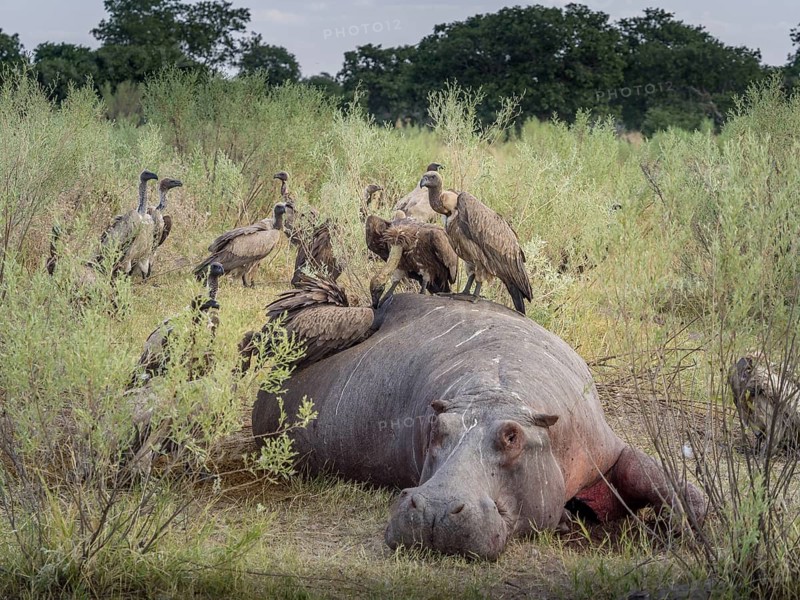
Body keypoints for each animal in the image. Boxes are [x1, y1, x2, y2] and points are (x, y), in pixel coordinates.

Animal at [252, 294, 705, 559]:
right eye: (437, 428)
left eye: (512, 436)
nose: (435, 508)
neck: (496, 389)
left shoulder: (604, 445)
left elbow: (646, 472)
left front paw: (686, 519)